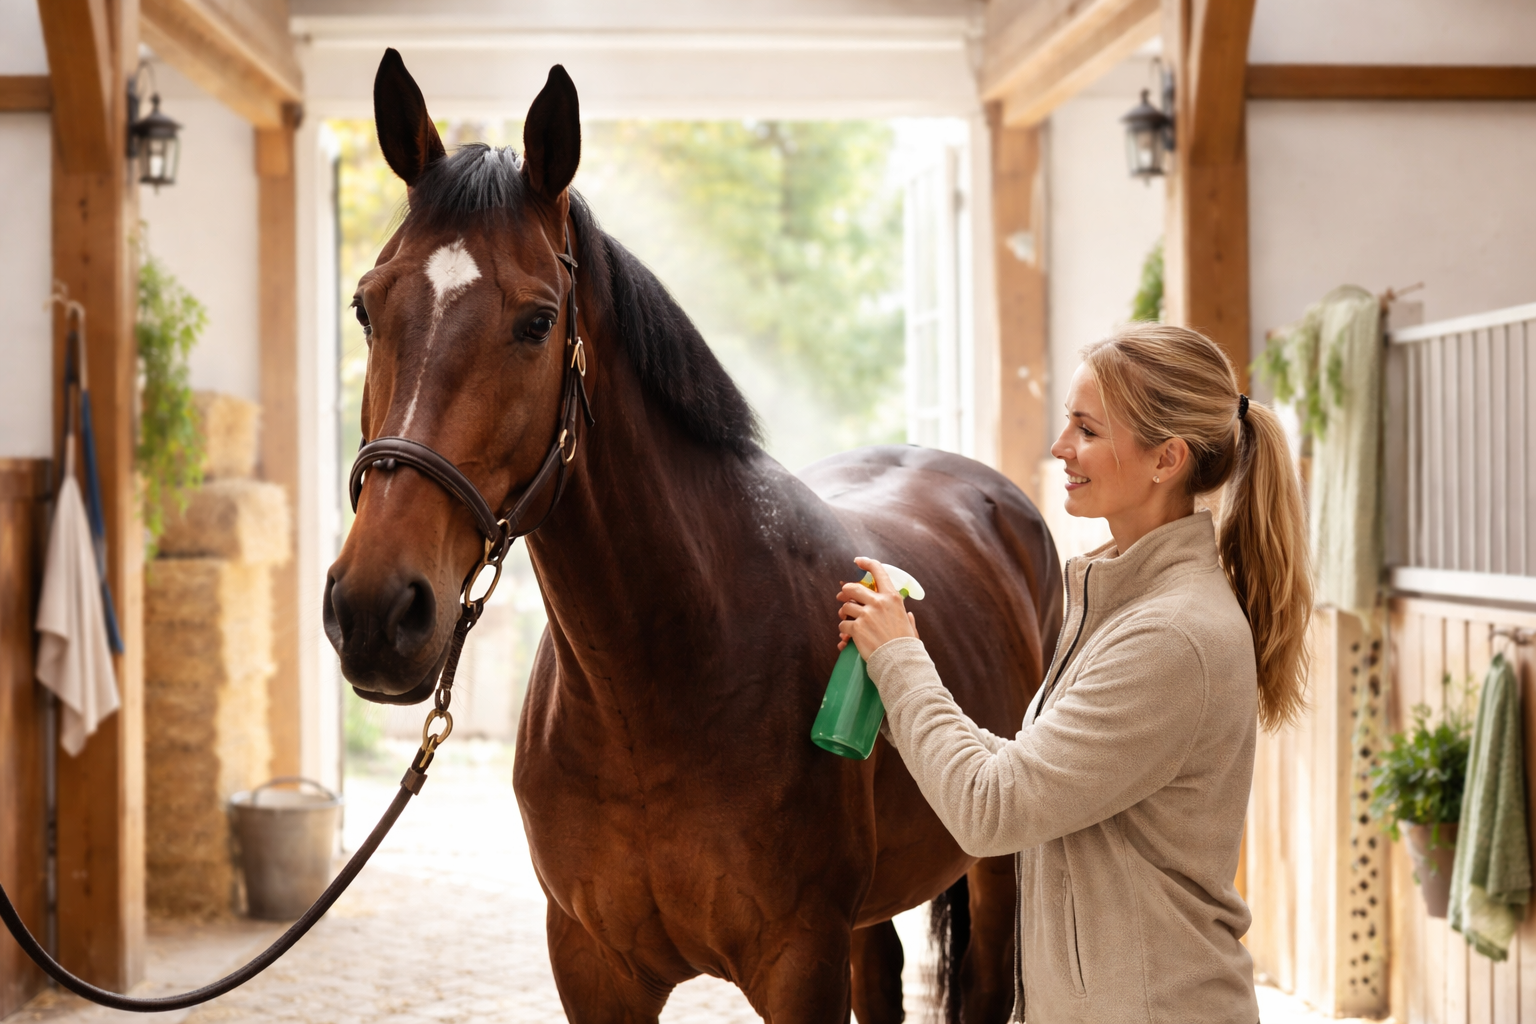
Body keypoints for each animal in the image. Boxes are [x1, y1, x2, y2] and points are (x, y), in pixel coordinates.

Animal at [325, 50, 1063, 1023]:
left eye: (536, 321)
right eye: (367, 308)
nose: (376, 611)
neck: (666, 676)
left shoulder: (799, 964)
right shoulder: (594, 967)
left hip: (995, 866)